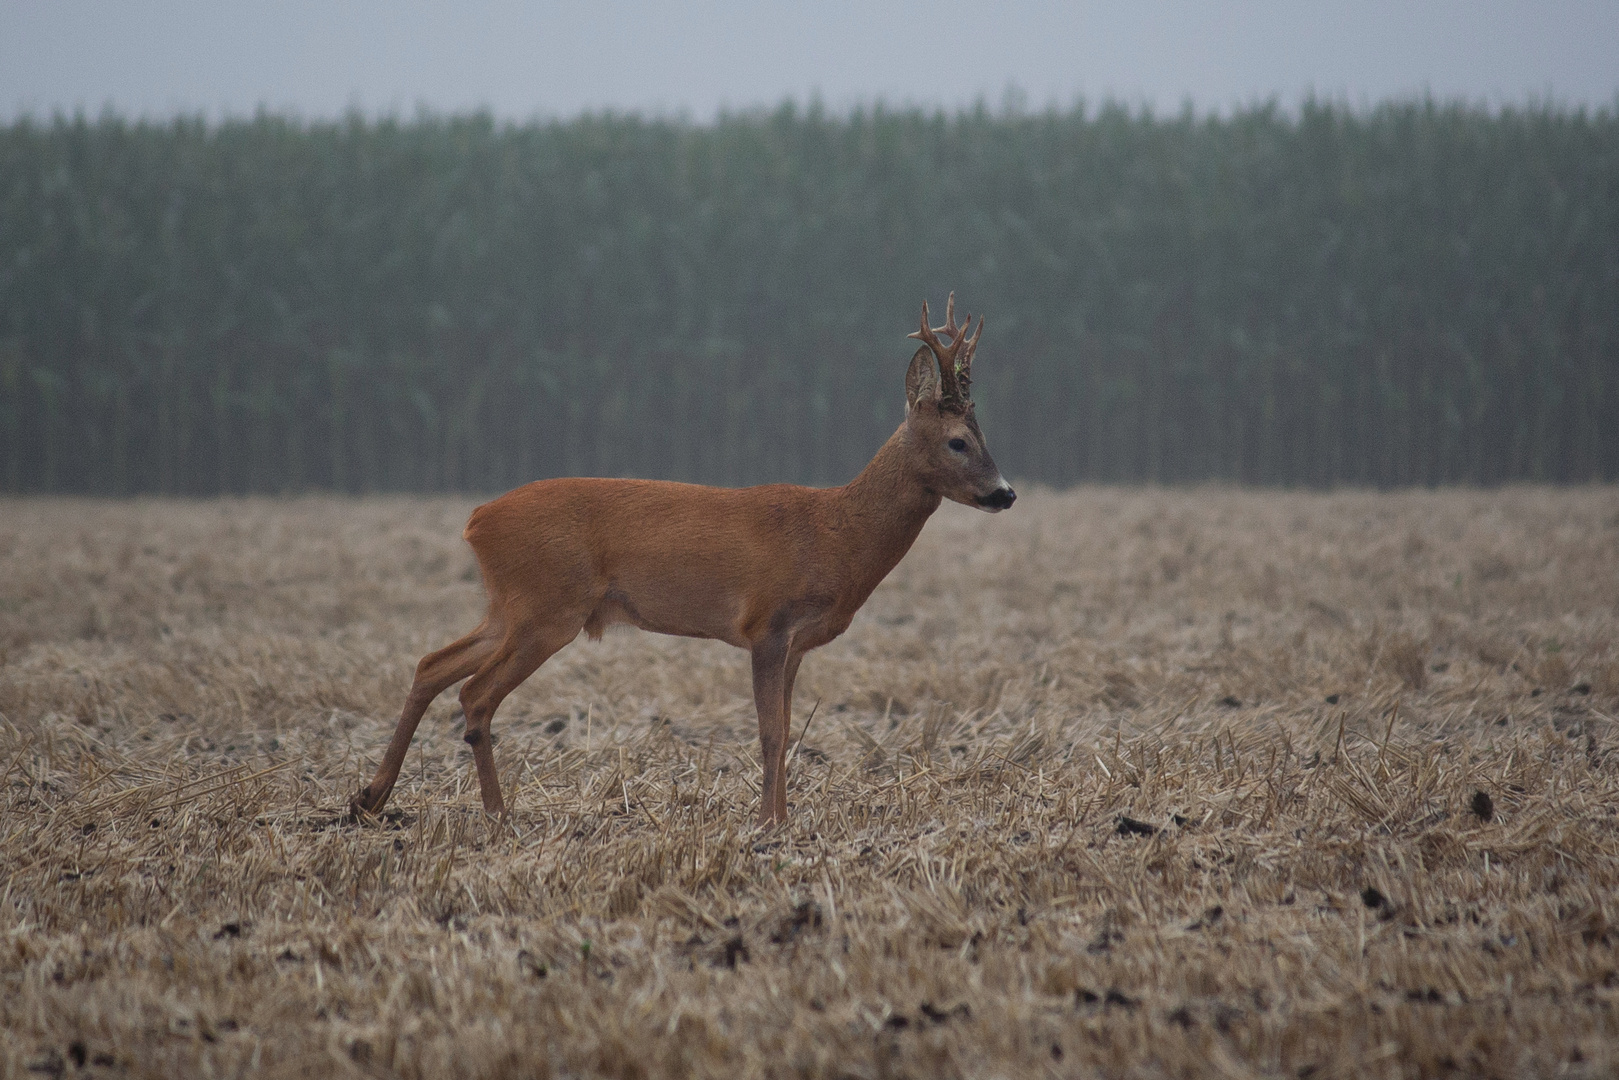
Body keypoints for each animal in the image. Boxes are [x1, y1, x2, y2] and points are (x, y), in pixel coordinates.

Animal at [352, 296, 1010, 829]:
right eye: (957, 441)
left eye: (986, 436)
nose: (1004, 493)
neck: (837, 535)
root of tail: (476, 520)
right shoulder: (768, 624)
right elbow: (771, 732)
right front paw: (768, 824)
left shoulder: (797, 642)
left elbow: (789, 728)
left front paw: (782, 818)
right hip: (547, 608)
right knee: (475, 694)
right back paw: (495, 814)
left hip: (510, 606)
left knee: (433, 664)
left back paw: (370, 797)